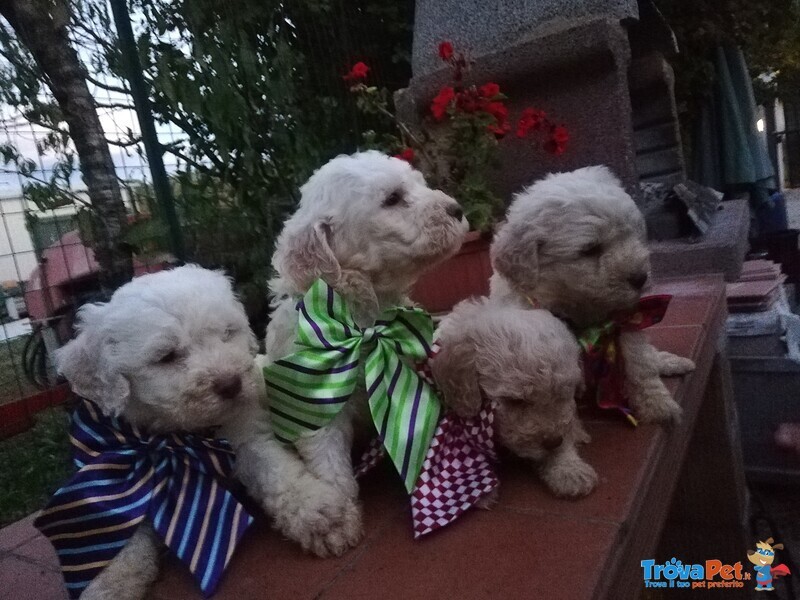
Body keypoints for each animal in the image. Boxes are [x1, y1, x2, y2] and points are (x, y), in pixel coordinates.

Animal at [54, 268, 360, 600]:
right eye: (166, 356)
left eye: (226, 334)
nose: (231, 384)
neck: (178, 439)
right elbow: (113, 525)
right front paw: (108, 582)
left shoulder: (249, 439)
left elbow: (280, 474)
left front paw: (324, 518)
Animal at [268, 151, 468, 548]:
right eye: (392, 199)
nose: (457, 209)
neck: (362, 325)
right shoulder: (313, 401)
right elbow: (329, 465)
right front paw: (336, 521)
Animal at [488, 166, 692, 424]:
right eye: (590, 249)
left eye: (630, 235)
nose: (640, 278)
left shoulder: (627, 319)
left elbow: (641, 364)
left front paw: (657, 405)